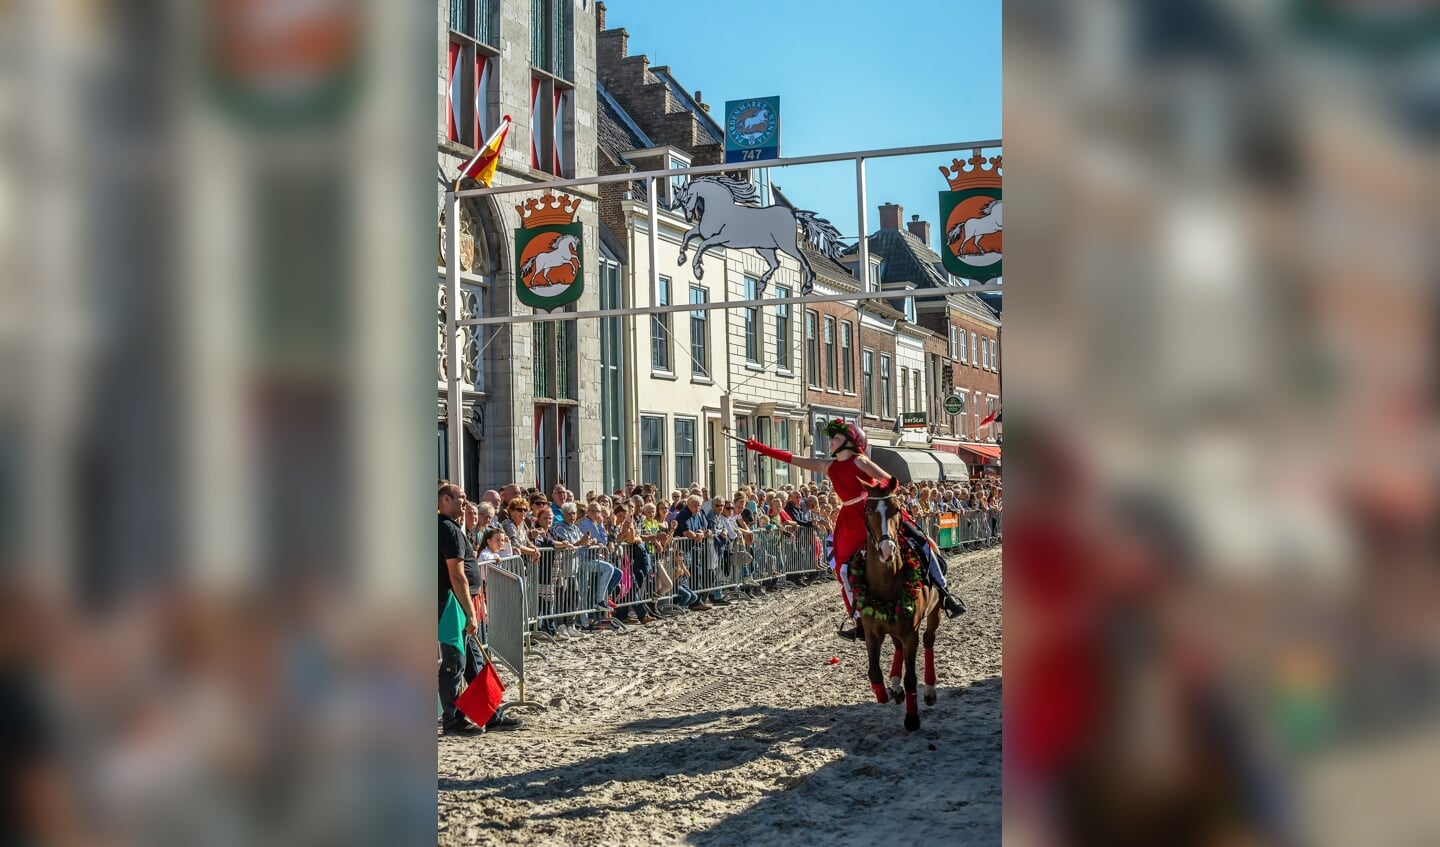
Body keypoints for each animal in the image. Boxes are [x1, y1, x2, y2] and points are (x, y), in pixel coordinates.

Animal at [671, 173, 846, 296]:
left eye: (687, 198)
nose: (688, 217)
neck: (719, 209)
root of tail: (792, 213)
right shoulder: (703, 232)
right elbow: (688, 236)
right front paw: (681, 258)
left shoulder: (722, 238)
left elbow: (701, 245)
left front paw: (697, 269)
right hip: (764, 248)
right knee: (775, 263)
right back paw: (761, 284)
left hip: (786, 245)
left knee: (803, 261)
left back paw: (807, 287)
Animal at [852, 481, 944, 731]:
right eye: (869, 511)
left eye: (896, 509)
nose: (887, 550)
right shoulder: (872, 632)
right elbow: (874, 672)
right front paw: (886, 692)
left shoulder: (910, 633)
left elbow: (911, 677)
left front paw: (912, 719)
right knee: (897, 647)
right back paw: (895, 686)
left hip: (934, 613)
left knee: (929, 639)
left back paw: (930, 691)